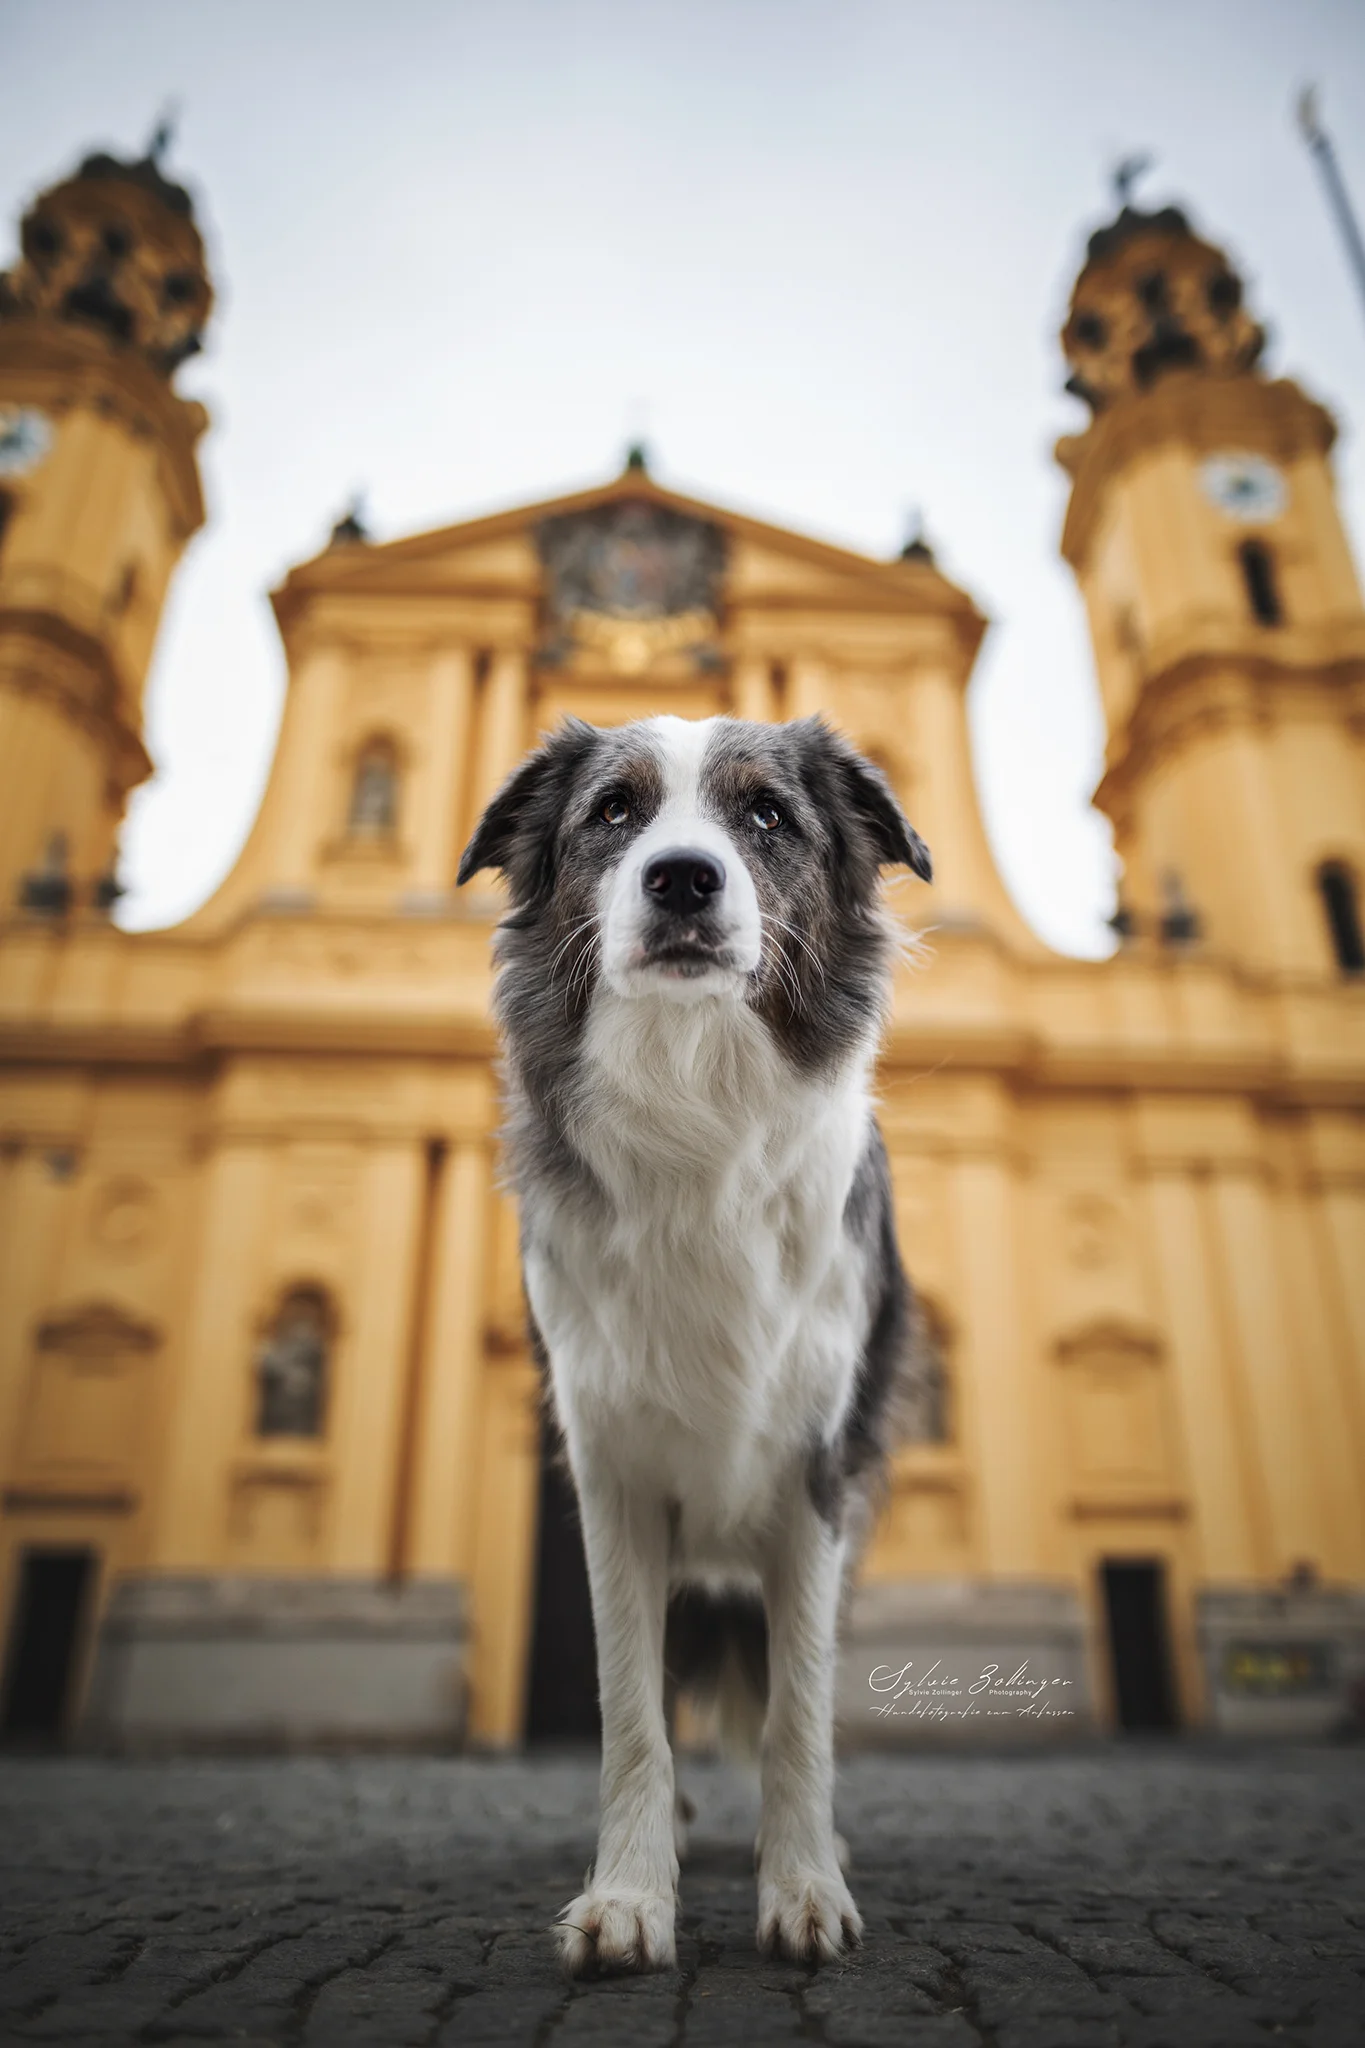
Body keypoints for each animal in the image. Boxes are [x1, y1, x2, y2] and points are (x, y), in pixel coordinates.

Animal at [458, 712, 929, 1974]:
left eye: (767, 813)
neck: (696, 1101)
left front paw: (804, 1885)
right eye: (613, 811)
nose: (681, 878)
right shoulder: (613, 1472)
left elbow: (797, 1710)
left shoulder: (815, 1473)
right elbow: (632, 1709)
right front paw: (629, 1896)